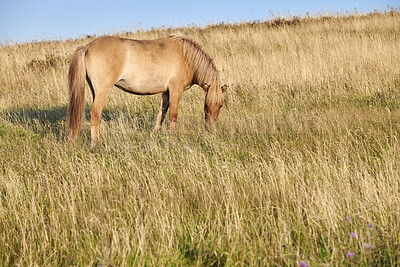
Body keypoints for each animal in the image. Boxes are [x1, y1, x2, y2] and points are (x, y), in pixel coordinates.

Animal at [67, 35, 227, 148]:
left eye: (220, 105)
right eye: (208, 105)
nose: (210, 129)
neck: (186, 57)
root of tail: (87, 47)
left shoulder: (166, 92)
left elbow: (161, 114)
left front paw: (155, 134)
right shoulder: (176, 90)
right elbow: (173, 116)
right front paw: (173, 139)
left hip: (96, 91)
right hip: (103, 91)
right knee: (95, 114)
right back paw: (95, 144)